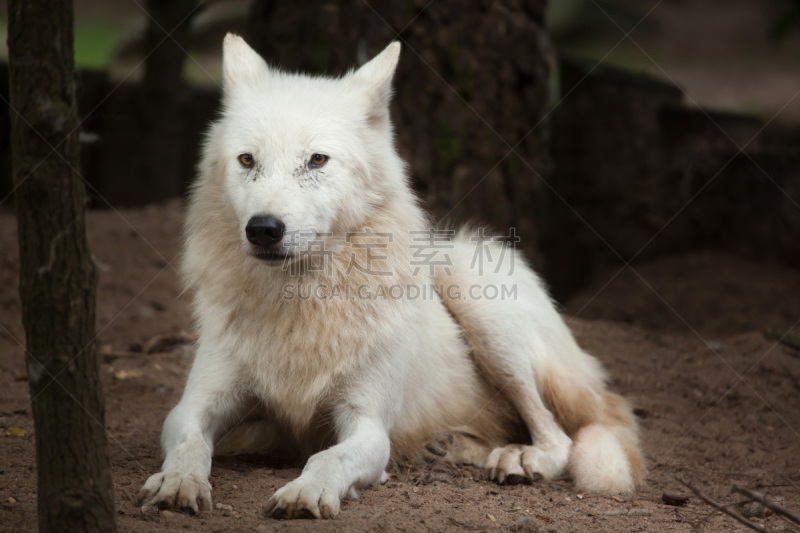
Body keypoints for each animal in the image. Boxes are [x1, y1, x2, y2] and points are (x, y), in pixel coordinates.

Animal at [139, 35, 644, 516]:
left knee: (562, 435)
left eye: (317, 160)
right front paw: (177, 483)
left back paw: (520, 458)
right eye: (247, 160)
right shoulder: (196, 405)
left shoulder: (366, 423)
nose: (263, 228)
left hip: (477, 300)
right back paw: (451, 446)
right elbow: (190, 444)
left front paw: (307, 492)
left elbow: (328, 456)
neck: (300, 305)